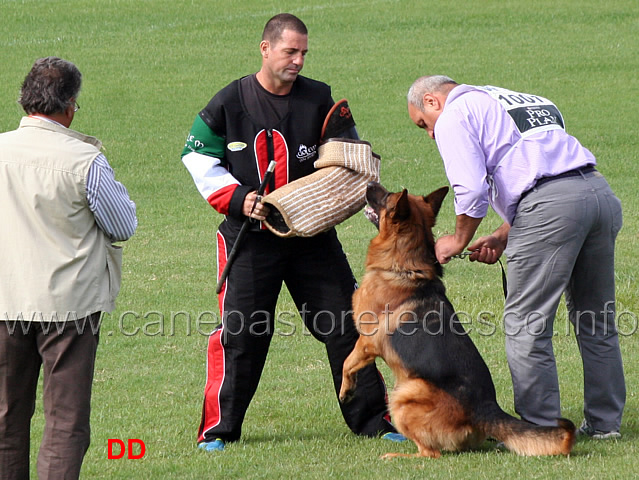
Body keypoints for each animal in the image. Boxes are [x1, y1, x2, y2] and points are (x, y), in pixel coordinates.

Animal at [340, 182, 580, 460]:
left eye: (387, 195)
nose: (369, 184)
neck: (405, 266)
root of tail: (486, 408)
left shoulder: (367, 342)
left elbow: (348, 362)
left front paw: (346, 390)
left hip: (404, 394)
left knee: (430, 453)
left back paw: (398, 456)